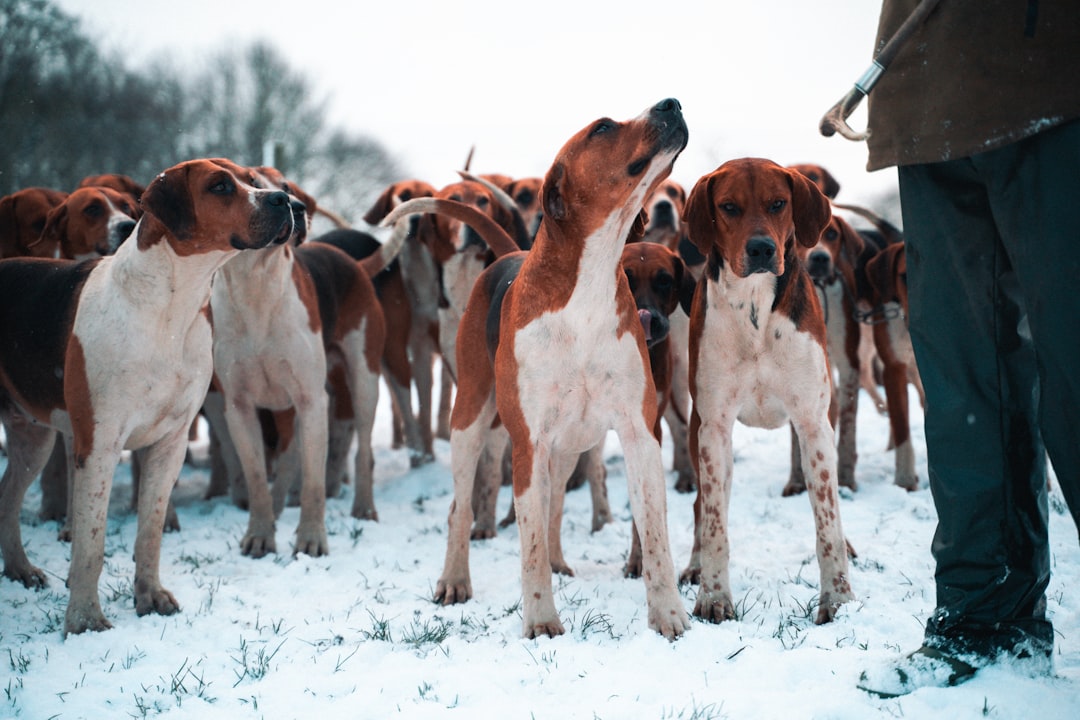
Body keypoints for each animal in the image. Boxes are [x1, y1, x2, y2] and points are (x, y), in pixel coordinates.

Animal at [0, 158, 295, 634]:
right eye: (219, 186)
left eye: (251, 180)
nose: (285, 200)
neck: (169, 306)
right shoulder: (98, 446)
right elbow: (91, 542)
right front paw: (84, 619)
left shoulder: (170, 443)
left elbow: (151, 529)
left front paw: (149, 596)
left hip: (33, 438)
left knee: (7, 501)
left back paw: (19, 569)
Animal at [388, 98, 691, 639]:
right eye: (603, 128)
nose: (672, 103)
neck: (587, 289)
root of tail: (509, 252)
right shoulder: (527, 444)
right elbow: (526, 545)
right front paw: (542, 619)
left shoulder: (640, 435)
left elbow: (654, 535)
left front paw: (668, 614)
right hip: (470, 421)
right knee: (460, 507)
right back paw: (455, 579)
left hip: (568, 445)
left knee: (552, 508)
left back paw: (557, 561)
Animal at [682, 157, 851, 626]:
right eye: (729, 207)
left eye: (778, 203)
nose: (760, 249)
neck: (755, 305)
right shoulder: (713, 429)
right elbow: (714, 522)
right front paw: (713, 597)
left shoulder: (813, 424)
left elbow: (827, 522)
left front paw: (838, 599)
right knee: (702, 506)